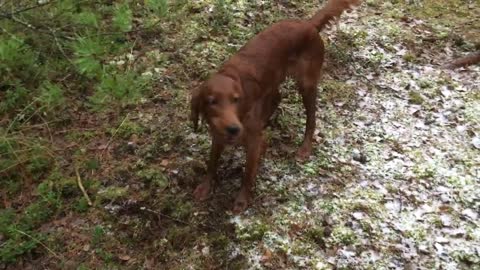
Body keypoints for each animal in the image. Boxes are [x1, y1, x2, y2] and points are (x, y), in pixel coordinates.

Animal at [191, 0, 360, 213]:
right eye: (211, 101)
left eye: (236, 100)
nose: (234, 128)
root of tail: (308, 25)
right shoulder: (218, 135)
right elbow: (212, 162)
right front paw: (206, 186)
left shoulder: (252, 141)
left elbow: (248, 172)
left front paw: (241, 200)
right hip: (273, 81)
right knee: (277, 98)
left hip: (306, 84)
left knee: (311, 118)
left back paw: (304, 148)